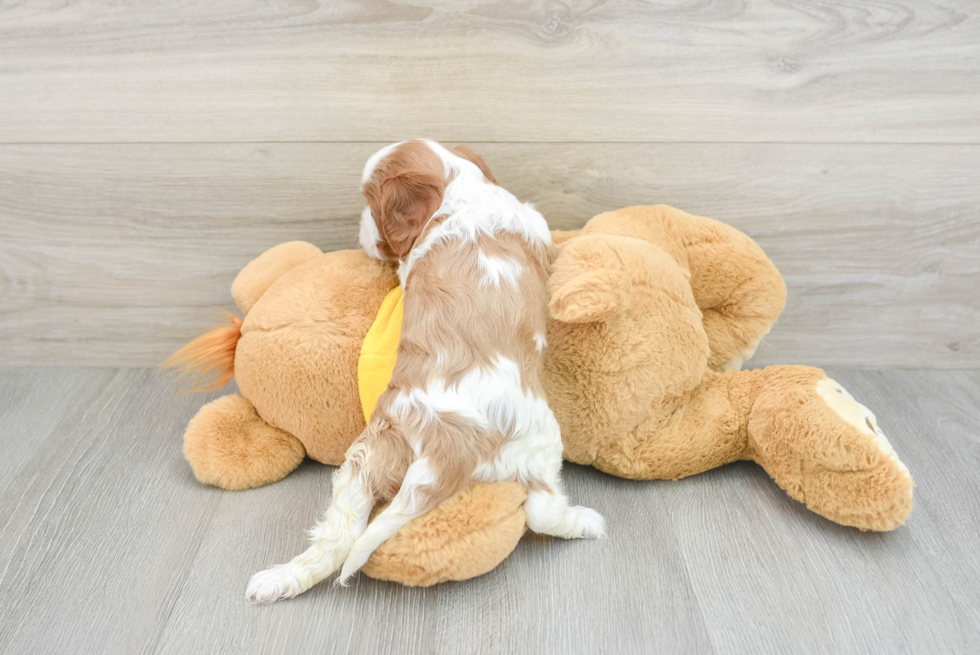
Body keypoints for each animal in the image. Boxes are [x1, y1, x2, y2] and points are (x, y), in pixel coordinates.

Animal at [245, 140, 604, 604]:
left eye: (370, 204)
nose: (360, 227)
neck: (460, 191)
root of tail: (445, 445)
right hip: (541, 444)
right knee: (543, 512)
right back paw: (588, 523)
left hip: (368, 457)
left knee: (336, 537)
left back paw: (276, 580)